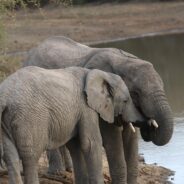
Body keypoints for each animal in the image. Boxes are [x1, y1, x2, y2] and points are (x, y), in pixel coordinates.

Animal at [0, 65, 144, 183]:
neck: (98, 73)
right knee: (30, 157)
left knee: (11, 157)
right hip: (29, 118)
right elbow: (90, 143)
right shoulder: (86, 107)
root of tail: (4, 96)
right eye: (126, 101)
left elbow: (75, 146)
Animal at [23, 36, 174, 184]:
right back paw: (57, 173)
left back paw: (69, 170)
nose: (149, 128)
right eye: (136, 93)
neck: (124, 61)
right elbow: (113, 142)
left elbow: (130, 142)